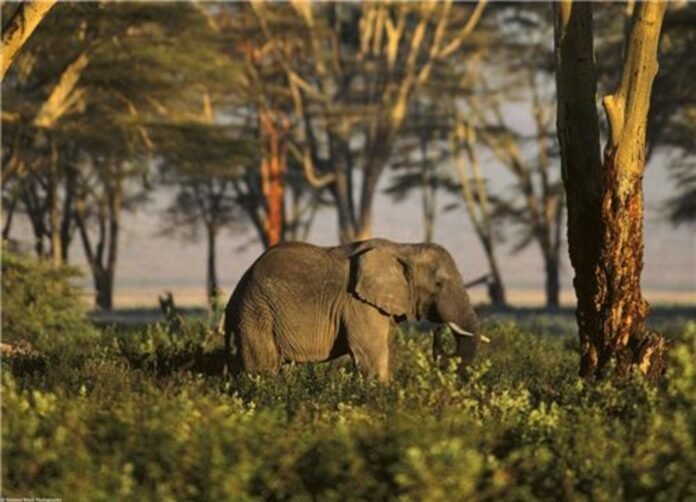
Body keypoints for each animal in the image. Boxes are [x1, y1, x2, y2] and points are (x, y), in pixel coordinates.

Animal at [223, 238, 484, 380]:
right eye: (438, 284)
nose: (437, 332)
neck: (404, 248)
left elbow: (386, 352)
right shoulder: (358, 303)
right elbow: (373, 357)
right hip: (256, 312)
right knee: (263, 367)